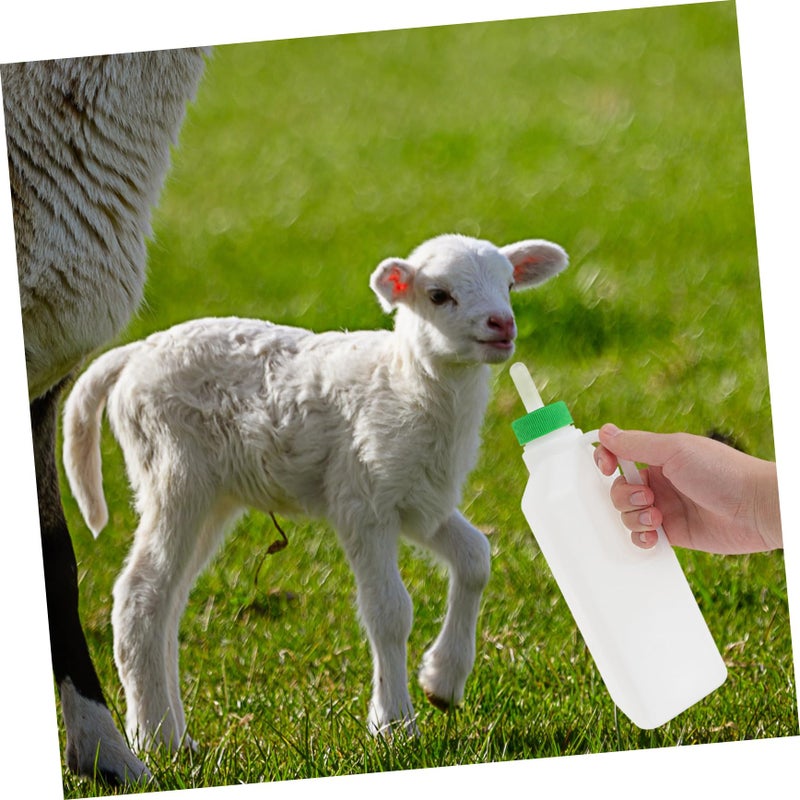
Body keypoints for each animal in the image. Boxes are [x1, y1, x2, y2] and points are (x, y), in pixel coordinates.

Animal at [62, 233, 568, 752]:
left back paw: (176, 735)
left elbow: (475, 557)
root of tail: (133, 354)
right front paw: (393, 725)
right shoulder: (362, 499)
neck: (405, 384)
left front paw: (442, 683)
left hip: (212, 494)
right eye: (438, 295)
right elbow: (389, 611)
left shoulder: (419, 498)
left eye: (510, 284)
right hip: (172, 470)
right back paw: (155, 738)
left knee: (169, 601)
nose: (502, 324)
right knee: (140, 593)